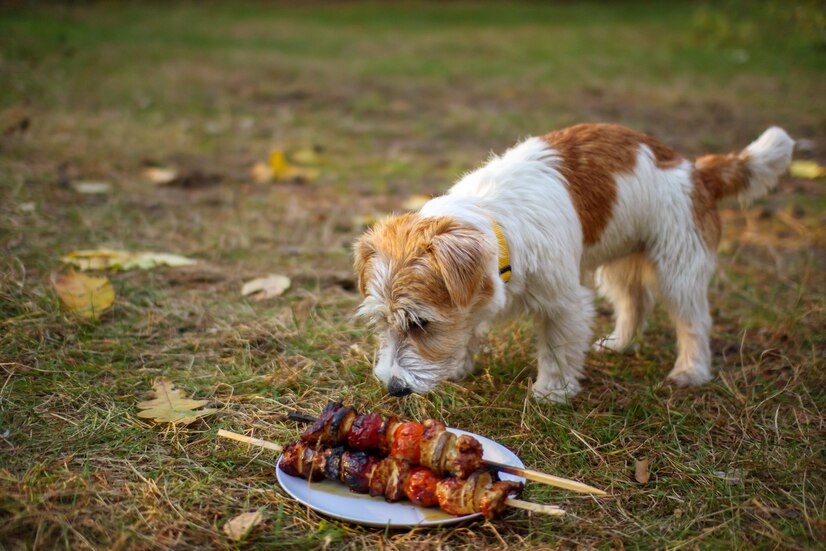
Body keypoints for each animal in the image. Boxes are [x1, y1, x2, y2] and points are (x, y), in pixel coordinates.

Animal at [352, 124, 792, 402]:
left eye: (420, 324)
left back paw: (691, 371)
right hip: (620, 262)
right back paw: (619, 344)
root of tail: (695, 169)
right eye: (381, 323)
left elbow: (557, 348)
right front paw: (459, 365)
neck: (495, 222)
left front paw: (553, 392)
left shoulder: (563, 302)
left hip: (678, 267)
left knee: (693, 321)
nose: (393, 388)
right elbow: (469, 329)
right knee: (635, 302)